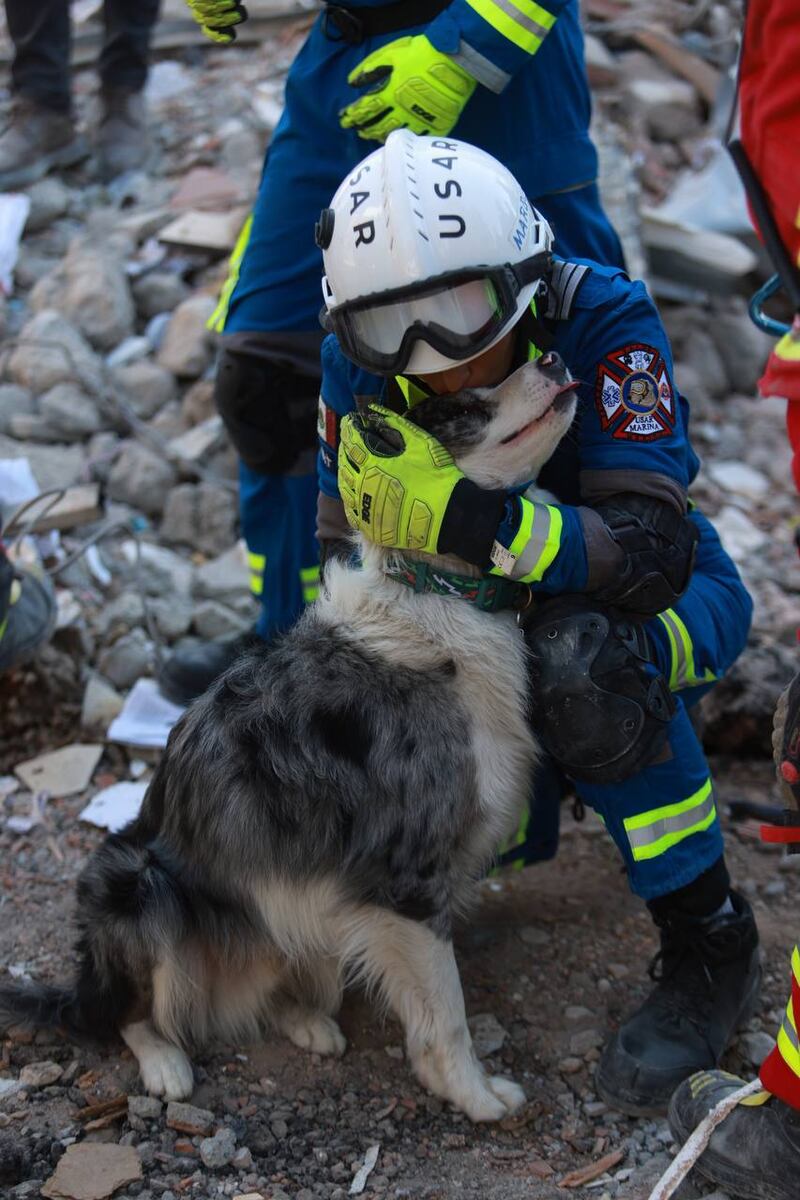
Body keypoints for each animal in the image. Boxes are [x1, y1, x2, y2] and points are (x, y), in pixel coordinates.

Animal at [0, 350, 575, 1118]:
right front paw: (476, 1095)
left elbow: (429, 1008)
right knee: (126, 1015)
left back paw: (306, 1021)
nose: (553, 356)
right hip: (138, 883)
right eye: (465, 408)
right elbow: (446, 1012)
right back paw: (166, 1063)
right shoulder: (407, 881)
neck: (434, 592)